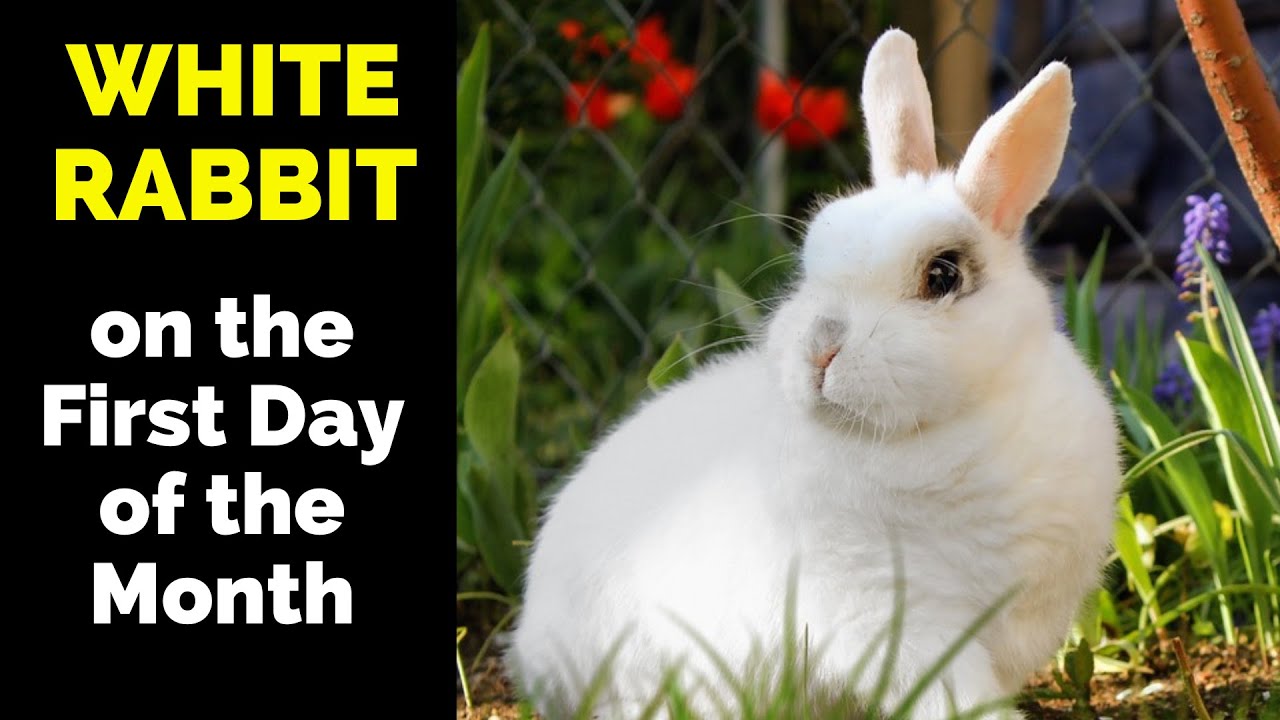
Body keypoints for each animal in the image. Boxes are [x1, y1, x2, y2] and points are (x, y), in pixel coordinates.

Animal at [507, 28, 1122, 720]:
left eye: (942, 275)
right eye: (811, 262)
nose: (820, 351)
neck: (952, 431)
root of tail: (528, 648)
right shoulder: (896, 618)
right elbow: (953, 694)